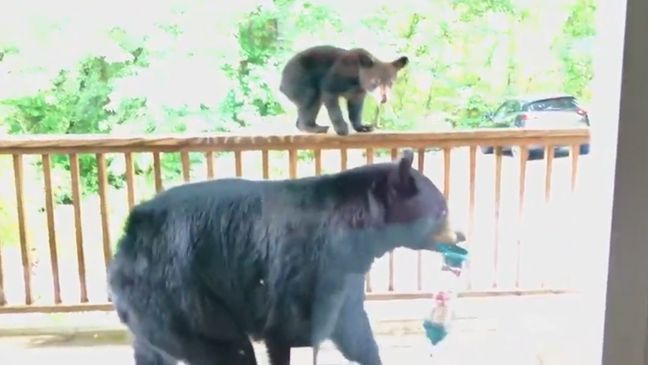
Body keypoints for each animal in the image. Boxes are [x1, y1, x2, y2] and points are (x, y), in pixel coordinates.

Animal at [110, 149, 466, 362]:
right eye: (442, 210)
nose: (461, 236)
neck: (357, 232)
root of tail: (127, 239)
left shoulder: (345, 273)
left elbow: (352, 327)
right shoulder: (305, 265)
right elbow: (289, 328)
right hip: (180, 297)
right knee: (227, 349)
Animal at [280, 45, 410, 136]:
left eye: (391, 82)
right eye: (375, 81)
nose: (384, 99)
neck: (357, 79)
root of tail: (281, 82)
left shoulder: (358, 92)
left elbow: (356, 108)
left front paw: (362, 127)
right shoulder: (337, 76)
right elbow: (330, 96)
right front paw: (342, 129)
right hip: (299, 78)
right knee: (311, 98)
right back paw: (314, 128)